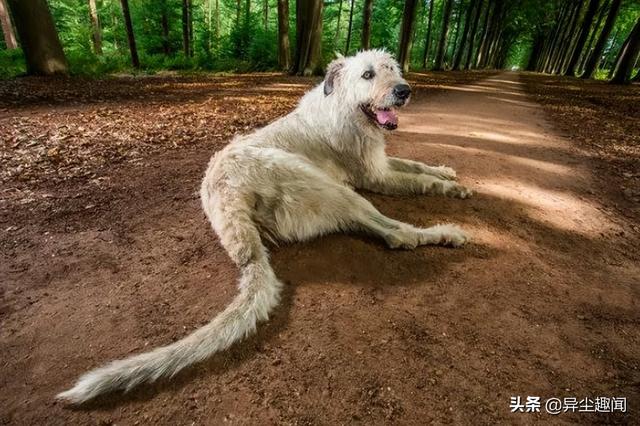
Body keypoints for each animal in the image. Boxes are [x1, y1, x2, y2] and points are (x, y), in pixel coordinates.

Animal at [57, 49, 472, 402]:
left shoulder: (381, 163)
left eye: (392, 69)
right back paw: (446, 233)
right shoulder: (374, 177)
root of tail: (228, 202)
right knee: (397, 234)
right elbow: (417, 180)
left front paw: (446, 172)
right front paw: (453, 188)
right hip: (328, 186)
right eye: (368, 74)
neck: (342, 107)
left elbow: (415, 165)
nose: (404, 90)